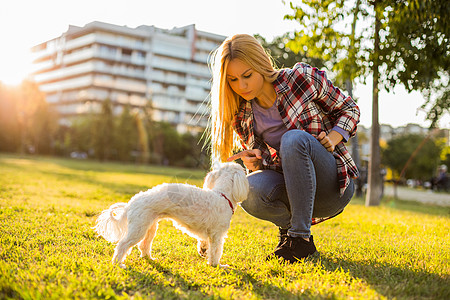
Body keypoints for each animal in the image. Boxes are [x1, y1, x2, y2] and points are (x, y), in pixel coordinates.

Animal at [94, 163, 248, 268]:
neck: (222, 195)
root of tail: (130, 203)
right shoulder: (217, 235)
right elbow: (216, 252)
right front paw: (217, 265)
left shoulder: (209, 234)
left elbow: (205, 245)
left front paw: (204, 251)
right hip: (138, 229)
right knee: (123, 245)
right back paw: (118, 264)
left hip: (150, 227)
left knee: (144, 245)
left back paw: (149, 258)